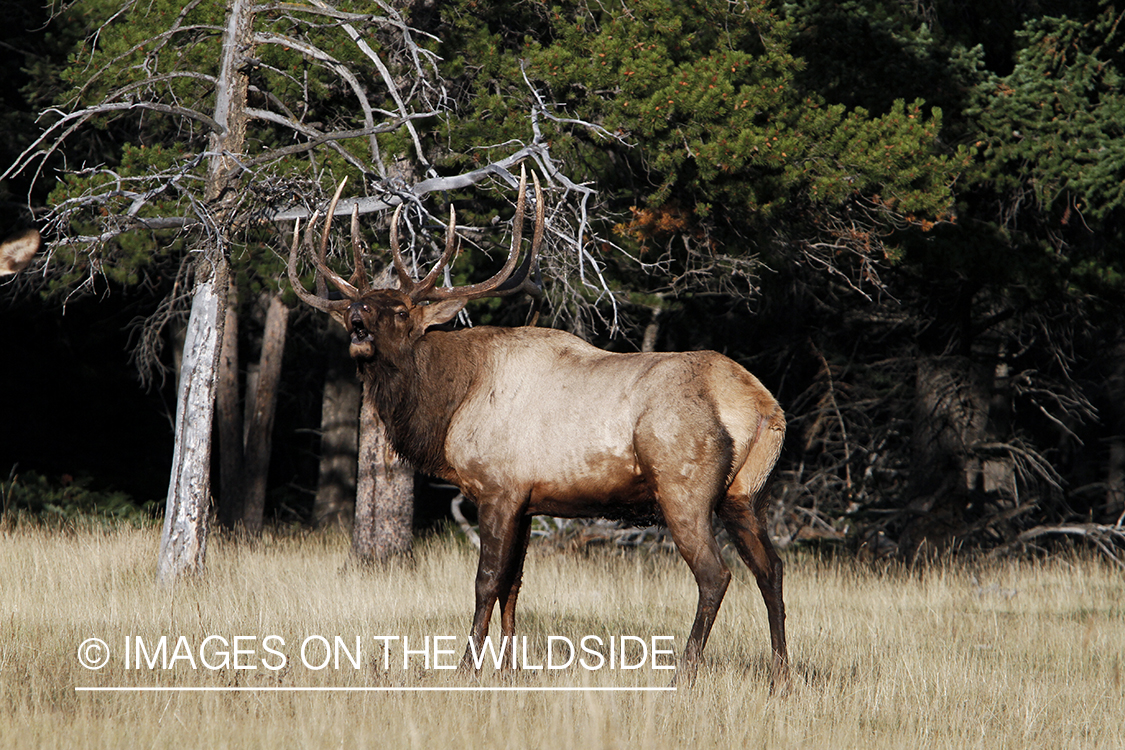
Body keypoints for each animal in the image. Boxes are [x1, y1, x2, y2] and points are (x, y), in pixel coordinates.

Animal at [285, 169, 787, 692]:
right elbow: (514, 583)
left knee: (715, 574)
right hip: (746, 493)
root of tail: (758, 404)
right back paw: (781, 676)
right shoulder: (528, 499)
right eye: (358, 303)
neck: (449, 408)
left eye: (401, 310)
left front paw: (467, 666)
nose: (357, 323)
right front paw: (507, 668)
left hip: (682, 484)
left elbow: (486, 580)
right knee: (771, 569)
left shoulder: (498, 487)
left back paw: (683, 675)